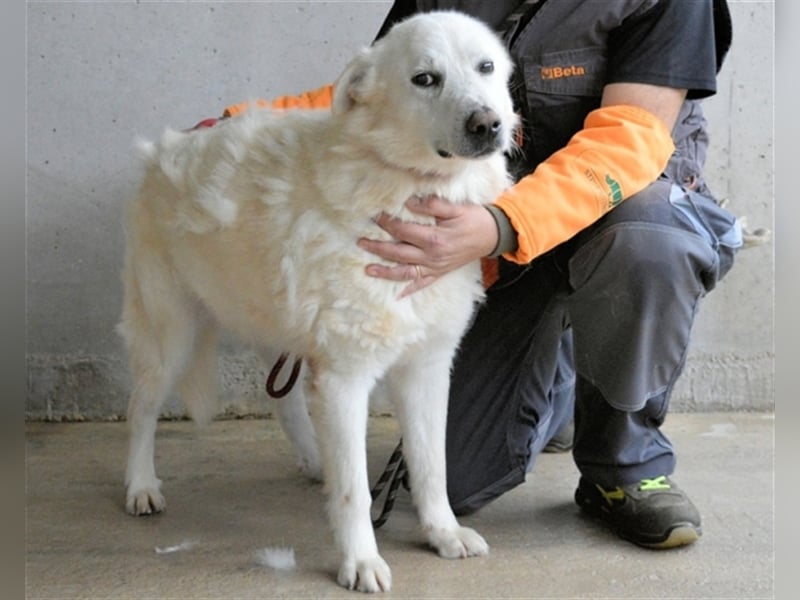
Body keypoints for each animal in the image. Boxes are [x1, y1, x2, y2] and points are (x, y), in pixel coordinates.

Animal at [121, 11, 516, 592]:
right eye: (425, 79)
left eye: (485, 67)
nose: (488, 124)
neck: (405, 191)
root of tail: (161, 150)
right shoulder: (345, 377)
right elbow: (354, 490)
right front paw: (360, 561)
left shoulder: (426, 367)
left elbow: (432, 466)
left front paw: (442, 534)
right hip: (169, 334)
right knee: (141, 408)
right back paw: (140, 485)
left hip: (273, 323)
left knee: (284, 403)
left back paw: (313, 460)